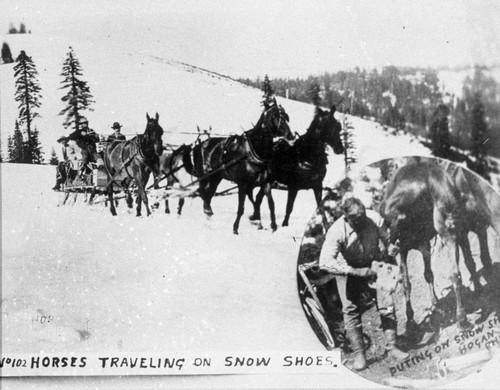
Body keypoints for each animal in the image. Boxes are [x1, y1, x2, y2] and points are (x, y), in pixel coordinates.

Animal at [183, 101, 292, 235]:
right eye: (273, 116)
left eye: (285, 116)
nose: (290, 135)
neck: (254, 151)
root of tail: (199, 145)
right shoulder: (242, 184)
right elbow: (242, 207)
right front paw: (236, 228)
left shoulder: (265, 183)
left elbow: (270, 204)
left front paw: (272, 225)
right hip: (204, 175)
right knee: (202, 192)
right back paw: (208, 212)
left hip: (216, 178)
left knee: (208, 195)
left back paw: (208, 217)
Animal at [380, 160, 482, 330]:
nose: (389, 246)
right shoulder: (423, 244)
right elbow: (424, 275)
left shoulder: (412, 245)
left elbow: (412, 280)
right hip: (450, 230)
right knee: (457, 271)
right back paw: (463, 316)